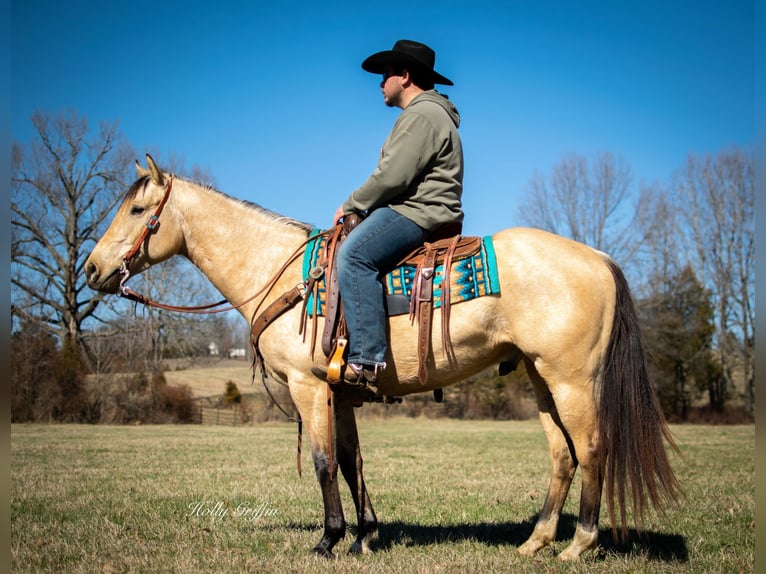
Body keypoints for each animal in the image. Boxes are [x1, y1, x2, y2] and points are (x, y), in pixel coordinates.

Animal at [85, 155, 684, 560]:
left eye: (138, 208)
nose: (91, 269)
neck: (282, 271)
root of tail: (599, 256)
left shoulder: (308, 387)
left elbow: (324, 462)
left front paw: (328, 540)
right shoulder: (340, 392)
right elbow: (352, 462)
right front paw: (365, 537)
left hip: (573, 380)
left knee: (592, 448)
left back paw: (579, 544)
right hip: (541, 380)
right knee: (562, 455)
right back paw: (534, 542)